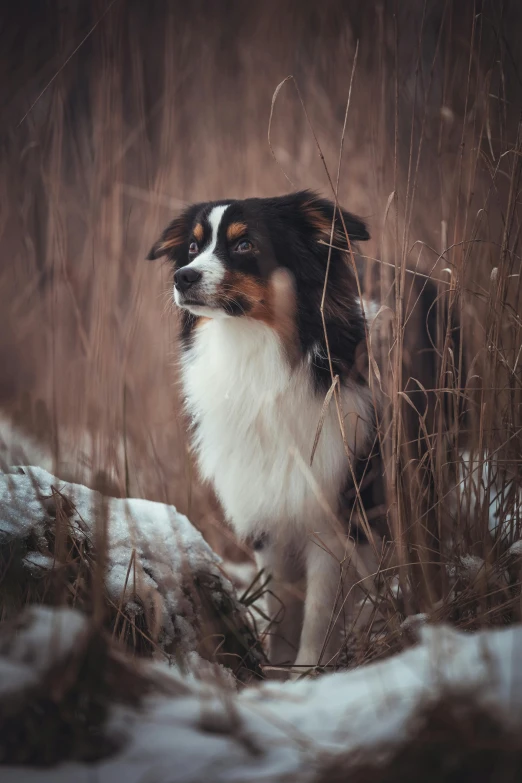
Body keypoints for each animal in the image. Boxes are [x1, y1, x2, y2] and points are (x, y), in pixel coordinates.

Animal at [146, 193, 446, 676]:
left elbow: (318, 615)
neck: (259, 353)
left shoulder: (332, 511)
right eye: (192, 247)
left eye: (245, 244)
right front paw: (277, 671)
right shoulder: (267, 508)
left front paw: (307, 673)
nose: (183, 276)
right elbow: (280, 606)